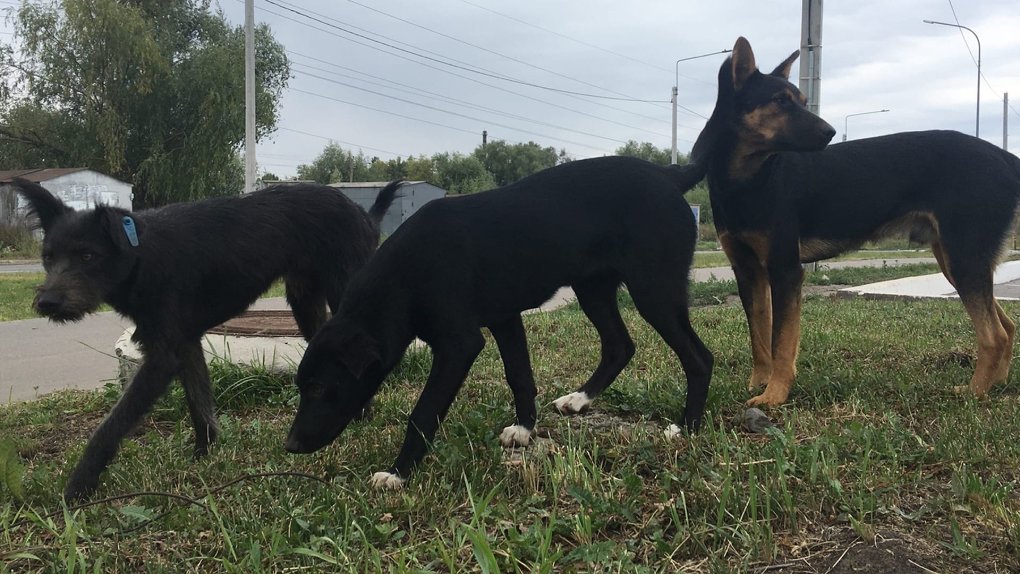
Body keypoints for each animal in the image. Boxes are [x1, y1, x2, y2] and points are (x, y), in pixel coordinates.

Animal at [16, 179, 397, 499]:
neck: (140, 252)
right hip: (306, 305)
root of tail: (363, 214)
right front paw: (203, 454)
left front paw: (80, 484)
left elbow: (113, 424)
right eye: (48, 257)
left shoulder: (161, 358)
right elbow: (200, 404)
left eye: (87, 255)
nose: (47, 302)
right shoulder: (185, 343)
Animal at [283, 157, 714, 489]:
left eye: (319, 388)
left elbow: (423, 412)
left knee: (699, 357)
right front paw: (524, 429)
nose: (291, 446)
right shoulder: (505, 319)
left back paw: (686, 428)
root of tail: (668, 174)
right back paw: (580, 399)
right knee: (619, 345)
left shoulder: (459, 344)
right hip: (593, 288)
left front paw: (398, 474)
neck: (405, 273)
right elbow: (519, 376)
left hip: (654, 290)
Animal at [689, 35, 1015, 405]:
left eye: (801, 100)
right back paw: (996, 385)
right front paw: (759, 383)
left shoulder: (785, 270)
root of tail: (1004, 157)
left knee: (994, 335)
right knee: (1006, 327)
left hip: (964, 258)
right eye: (780, 101)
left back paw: (974, 393)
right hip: (956, 260)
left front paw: (775, 395)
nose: (830, 132)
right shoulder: (748, 271)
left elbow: (781, 342)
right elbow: (760, 337)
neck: (750, 178)